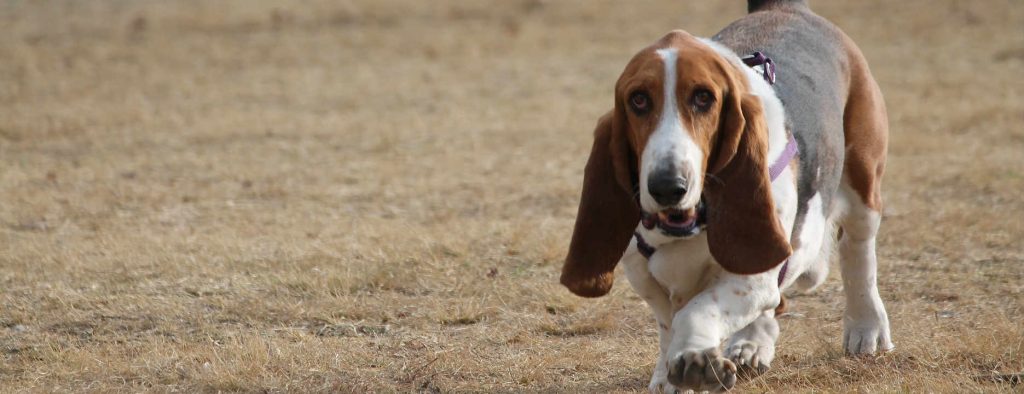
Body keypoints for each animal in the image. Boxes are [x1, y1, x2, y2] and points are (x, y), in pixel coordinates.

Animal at [557, 0, 892, 388]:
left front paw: (694, 358)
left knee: (858, 252)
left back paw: (867, 327)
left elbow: (696, 311)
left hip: (863, 185)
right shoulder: (644, 275)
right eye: (638, 100)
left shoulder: (750, 276)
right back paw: (752, 345)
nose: (667, 186)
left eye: (704, 98)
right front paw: (668, 376)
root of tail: (786, 7)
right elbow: (668, 323)